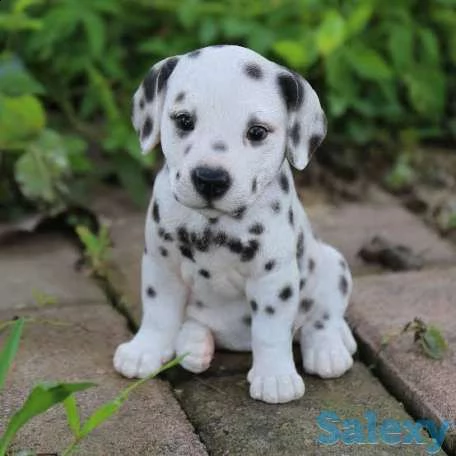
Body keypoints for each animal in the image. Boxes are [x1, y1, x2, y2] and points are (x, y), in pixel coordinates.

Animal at [113, 44, 356, 404]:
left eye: (257, 132)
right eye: (184, 120)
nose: (210, 179)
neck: (215, 223)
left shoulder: (273, 279)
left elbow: (270, 331)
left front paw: (275, 377)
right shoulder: (161, 265)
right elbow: (158, 313)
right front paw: (145, 351)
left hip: (332, 265)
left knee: (323, 316)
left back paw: (329, 349)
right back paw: (195, 344)